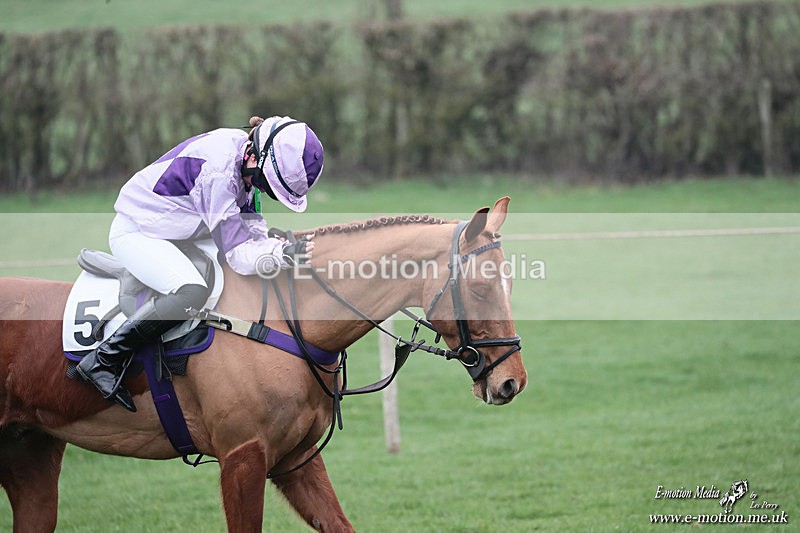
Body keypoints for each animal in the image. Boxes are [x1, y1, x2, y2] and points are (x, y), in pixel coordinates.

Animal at [0, 197, 526, 532]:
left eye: (509, 284)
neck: (285, 323)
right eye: (482, 288)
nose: (512, 382)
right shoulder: (242, 459)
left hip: (31, 453)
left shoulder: (295, 460)